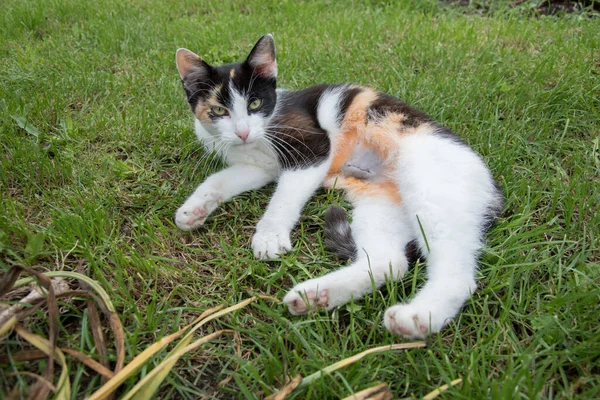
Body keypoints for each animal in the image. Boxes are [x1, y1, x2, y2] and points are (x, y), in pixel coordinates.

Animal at [176, 33, 504, 338]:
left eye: (255, 103)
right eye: (219, 111)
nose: (243, 132)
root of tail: (492, 187)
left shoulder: (314, 149)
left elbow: (285, 197)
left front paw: (270, 236)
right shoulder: (258, 167)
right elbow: (219, 180)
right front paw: (194, 210)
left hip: (430, 186)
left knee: (456, 271)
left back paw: (418, 317)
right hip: (380, 205)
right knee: (390, 263)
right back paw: (316, 296)